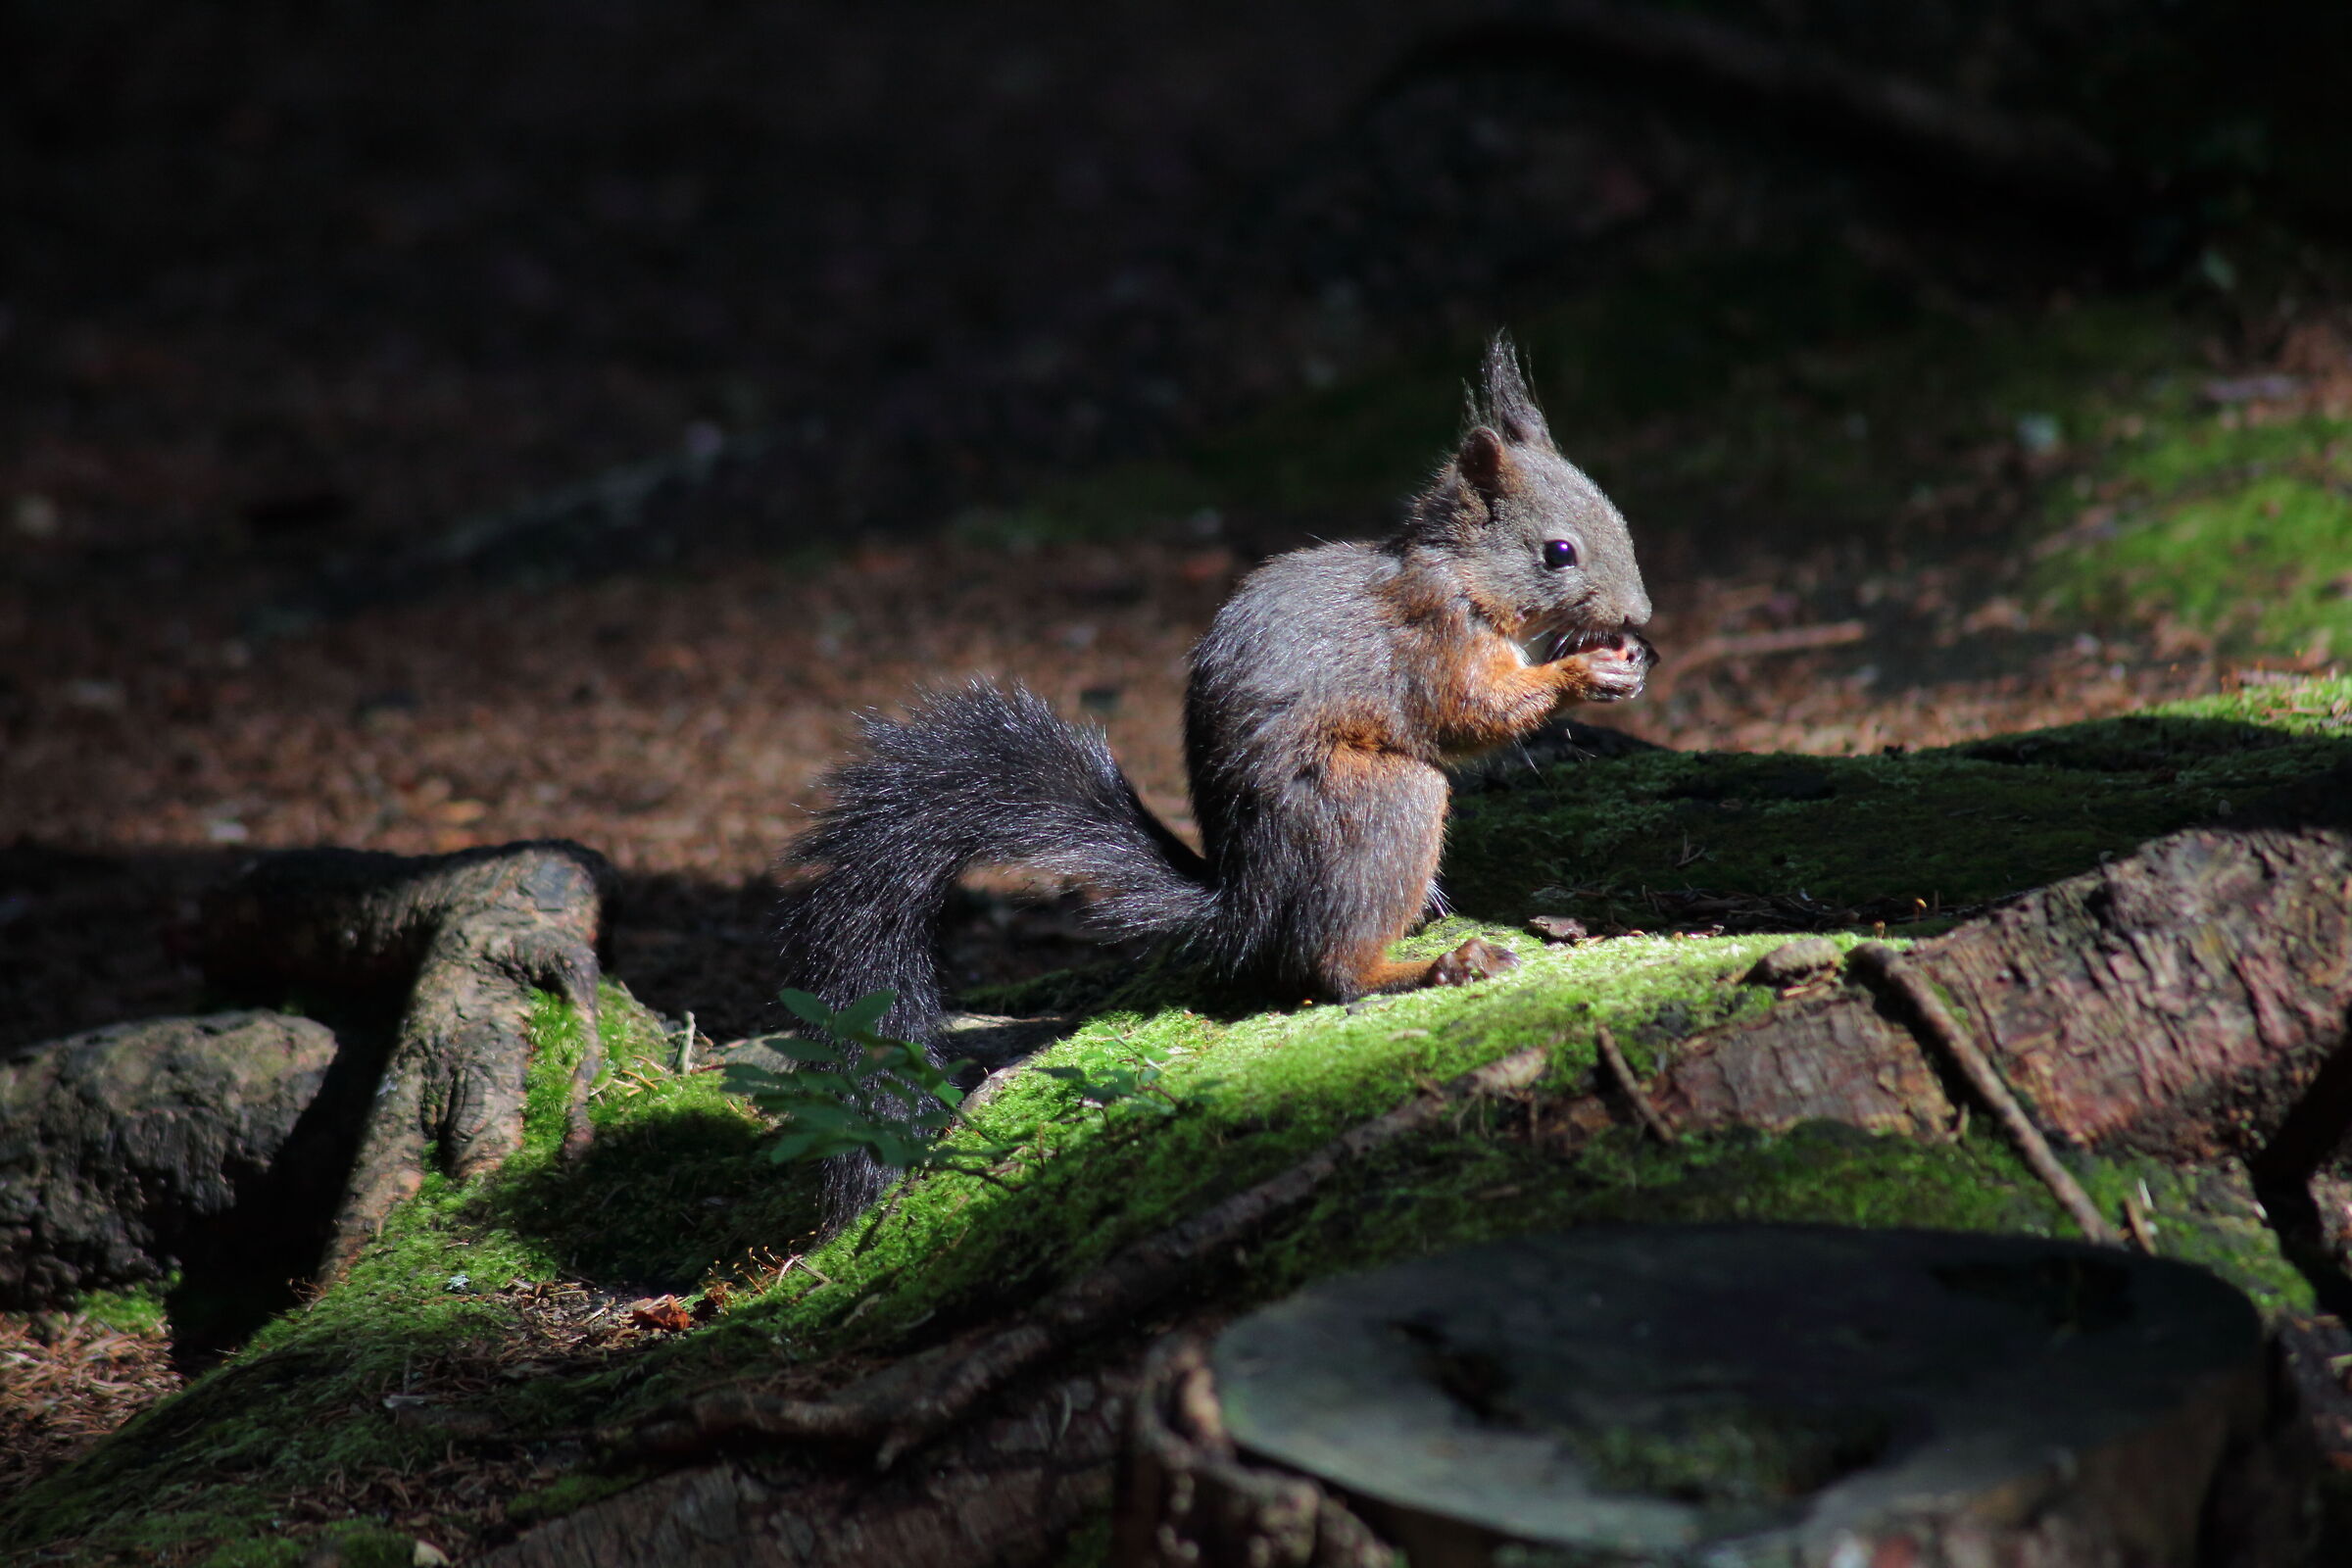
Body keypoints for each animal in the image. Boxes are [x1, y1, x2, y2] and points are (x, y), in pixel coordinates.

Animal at [776, 335, 1652, 1217]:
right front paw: (1585, 671)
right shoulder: (1428, 640)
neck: (1463, 578)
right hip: (1382, 799)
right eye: (1558, 552)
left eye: (1619, 520)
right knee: (1329, 967)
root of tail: (1248, 900)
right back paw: (1433, 964)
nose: (1640, 618)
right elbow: (1470, 712)